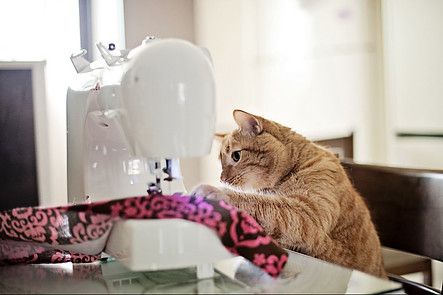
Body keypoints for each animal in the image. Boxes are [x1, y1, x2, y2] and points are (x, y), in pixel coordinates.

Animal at [193, 110, 386, 278]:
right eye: (221, 162)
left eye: (236, 156)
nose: (222, 179)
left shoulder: (307, 215)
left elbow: (257, 202)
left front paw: (214, 192)